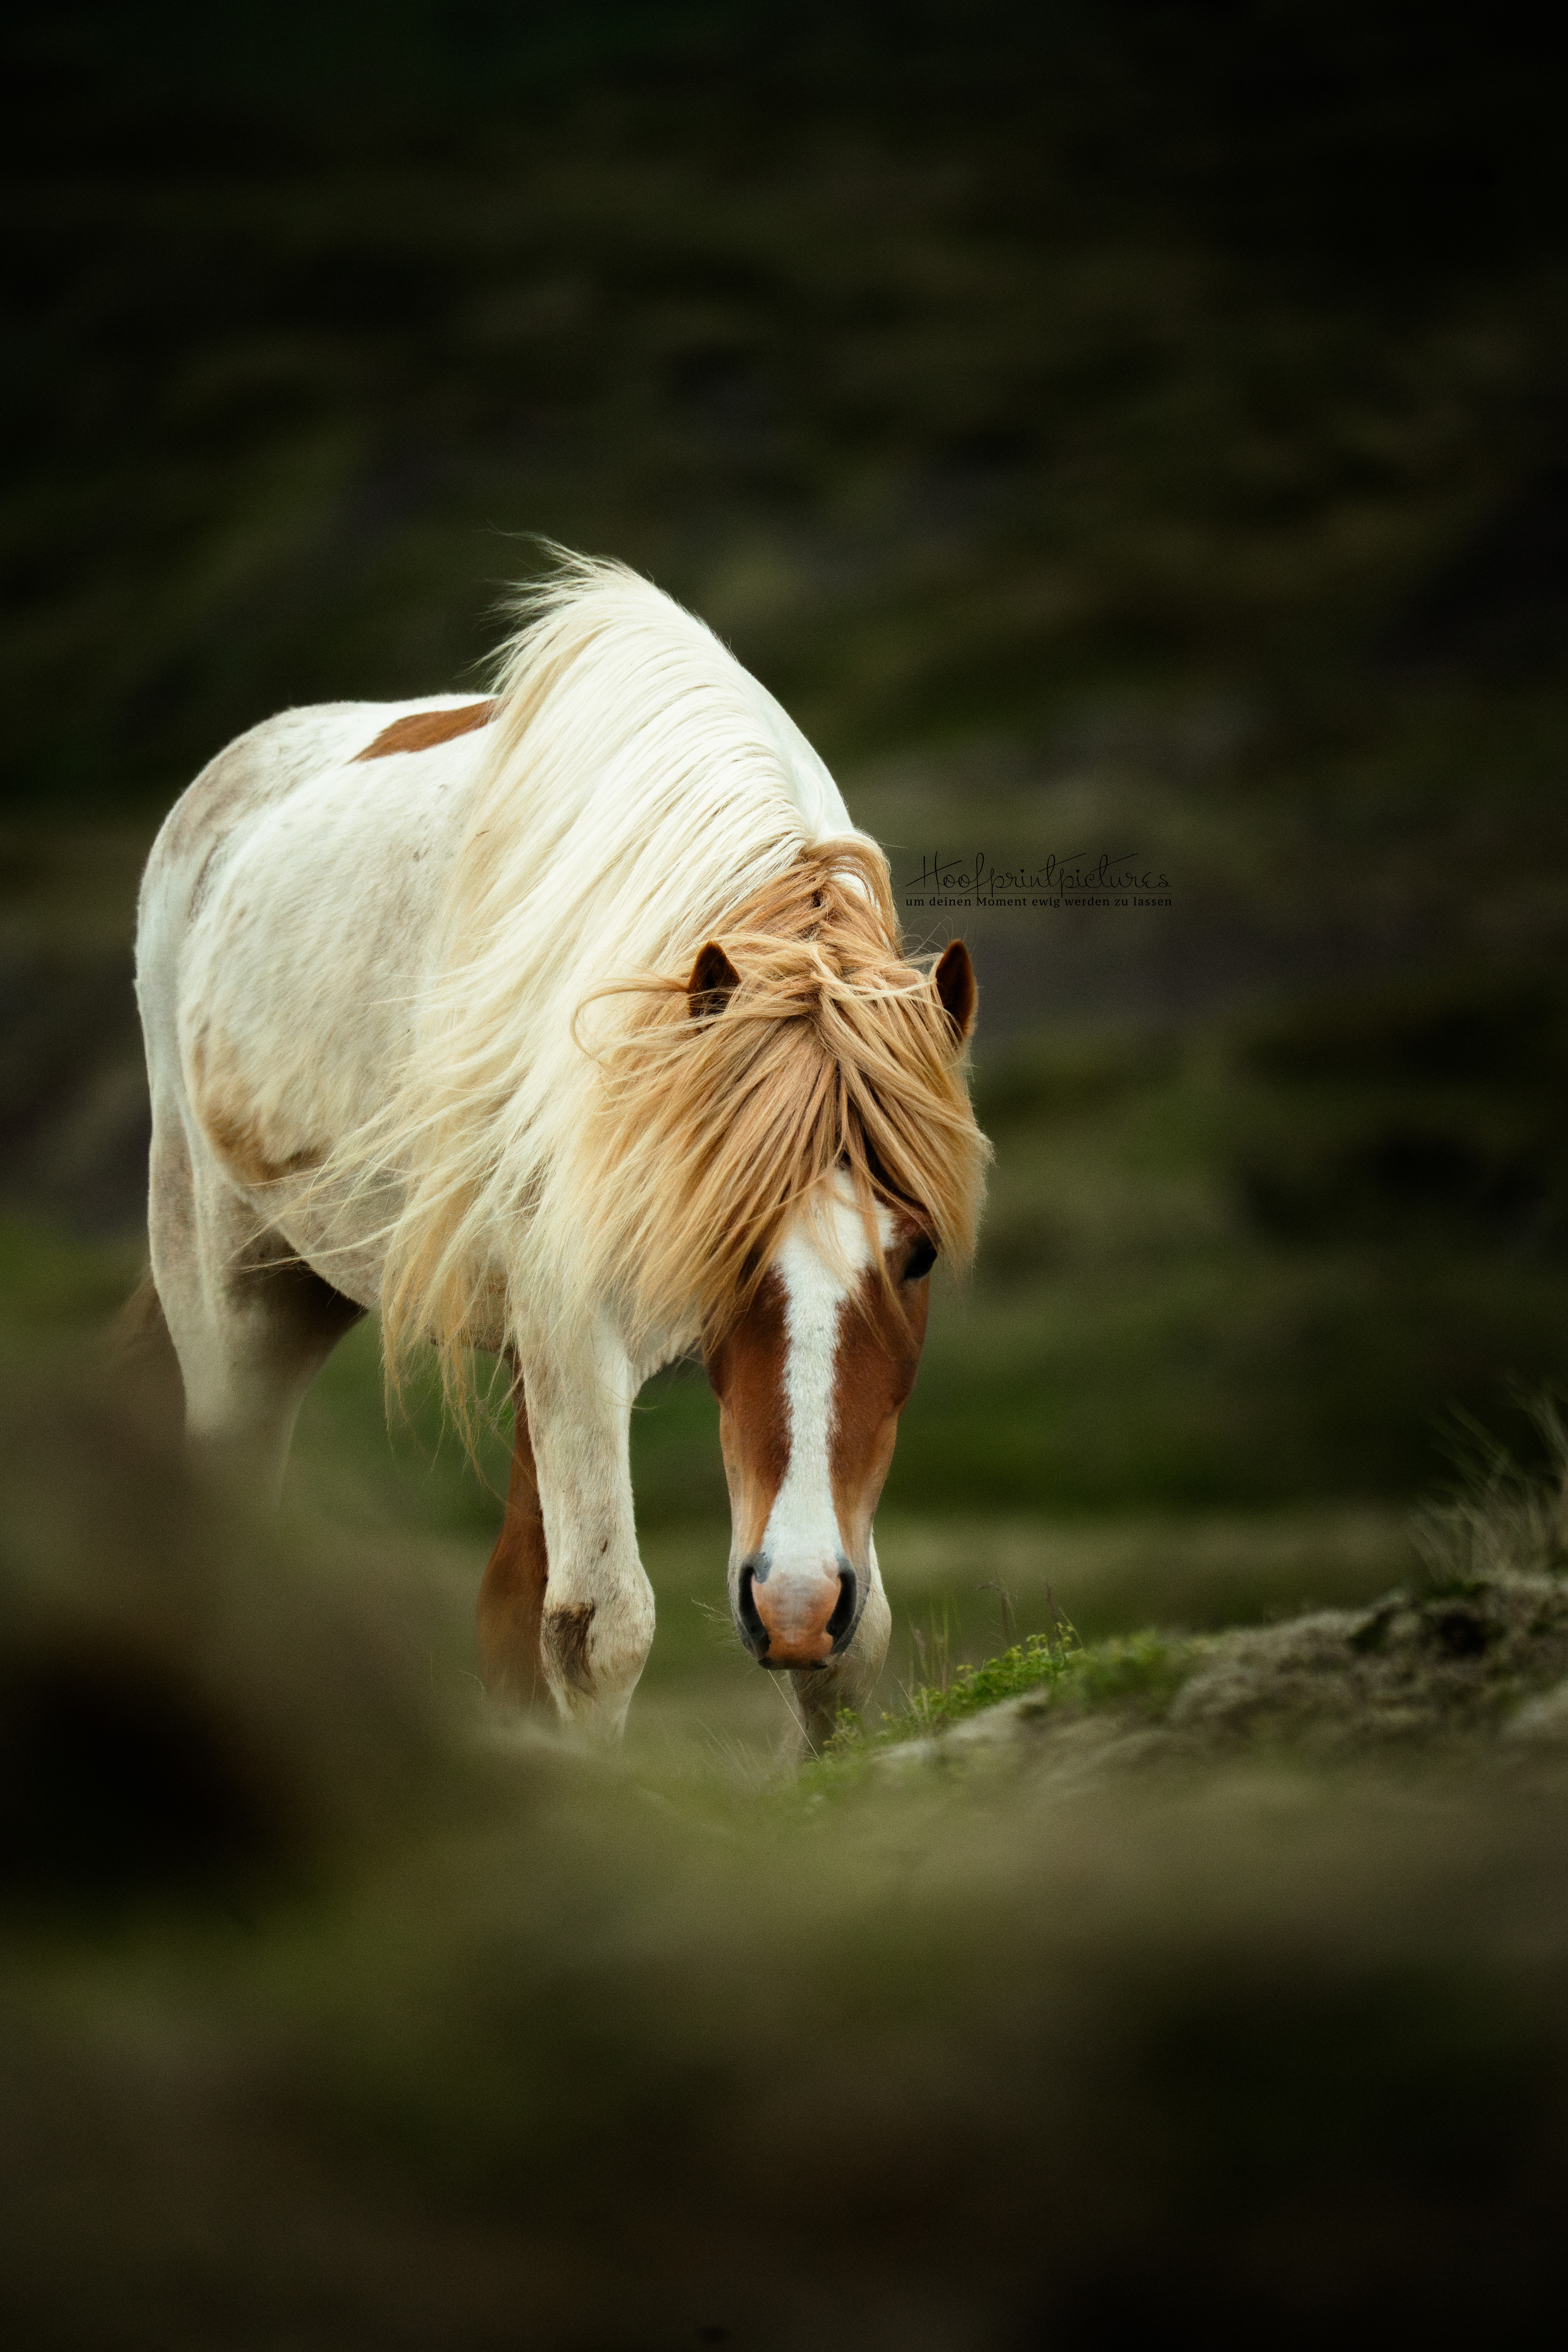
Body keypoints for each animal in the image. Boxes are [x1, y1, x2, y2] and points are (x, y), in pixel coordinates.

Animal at [132, 554, 988, 1749]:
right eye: (723, 1242)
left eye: (915, 1256)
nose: (791, 1599)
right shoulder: (576, 1332)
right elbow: (603, 1631)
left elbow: (841, 1657)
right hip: (238, 1292)